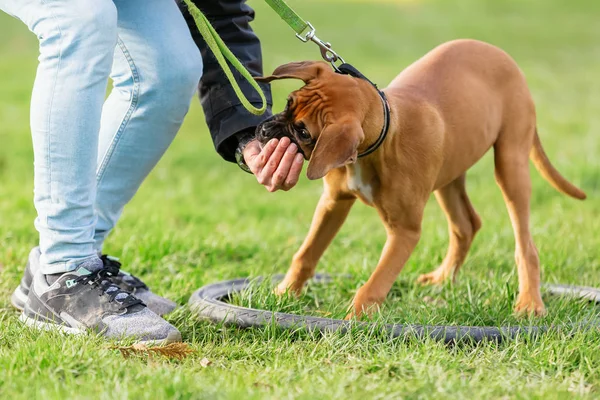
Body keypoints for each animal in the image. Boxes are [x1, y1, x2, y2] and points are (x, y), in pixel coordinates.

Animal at [254, 38, 584, 318]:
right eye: (288, 103)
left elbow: (375, 284)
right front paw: (284, 294)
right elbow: (306, 254)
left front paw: (354, 321)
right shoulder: (334, 202)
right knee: (466, 225)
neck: (382, 138)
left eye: (303, 132)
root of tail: (499, 52)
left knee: (525, 245)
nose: (262, 131)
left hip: (510, 163)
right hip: (450, 173)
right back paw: (442, 279)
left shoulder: (405, 231)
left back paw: (529, 303)